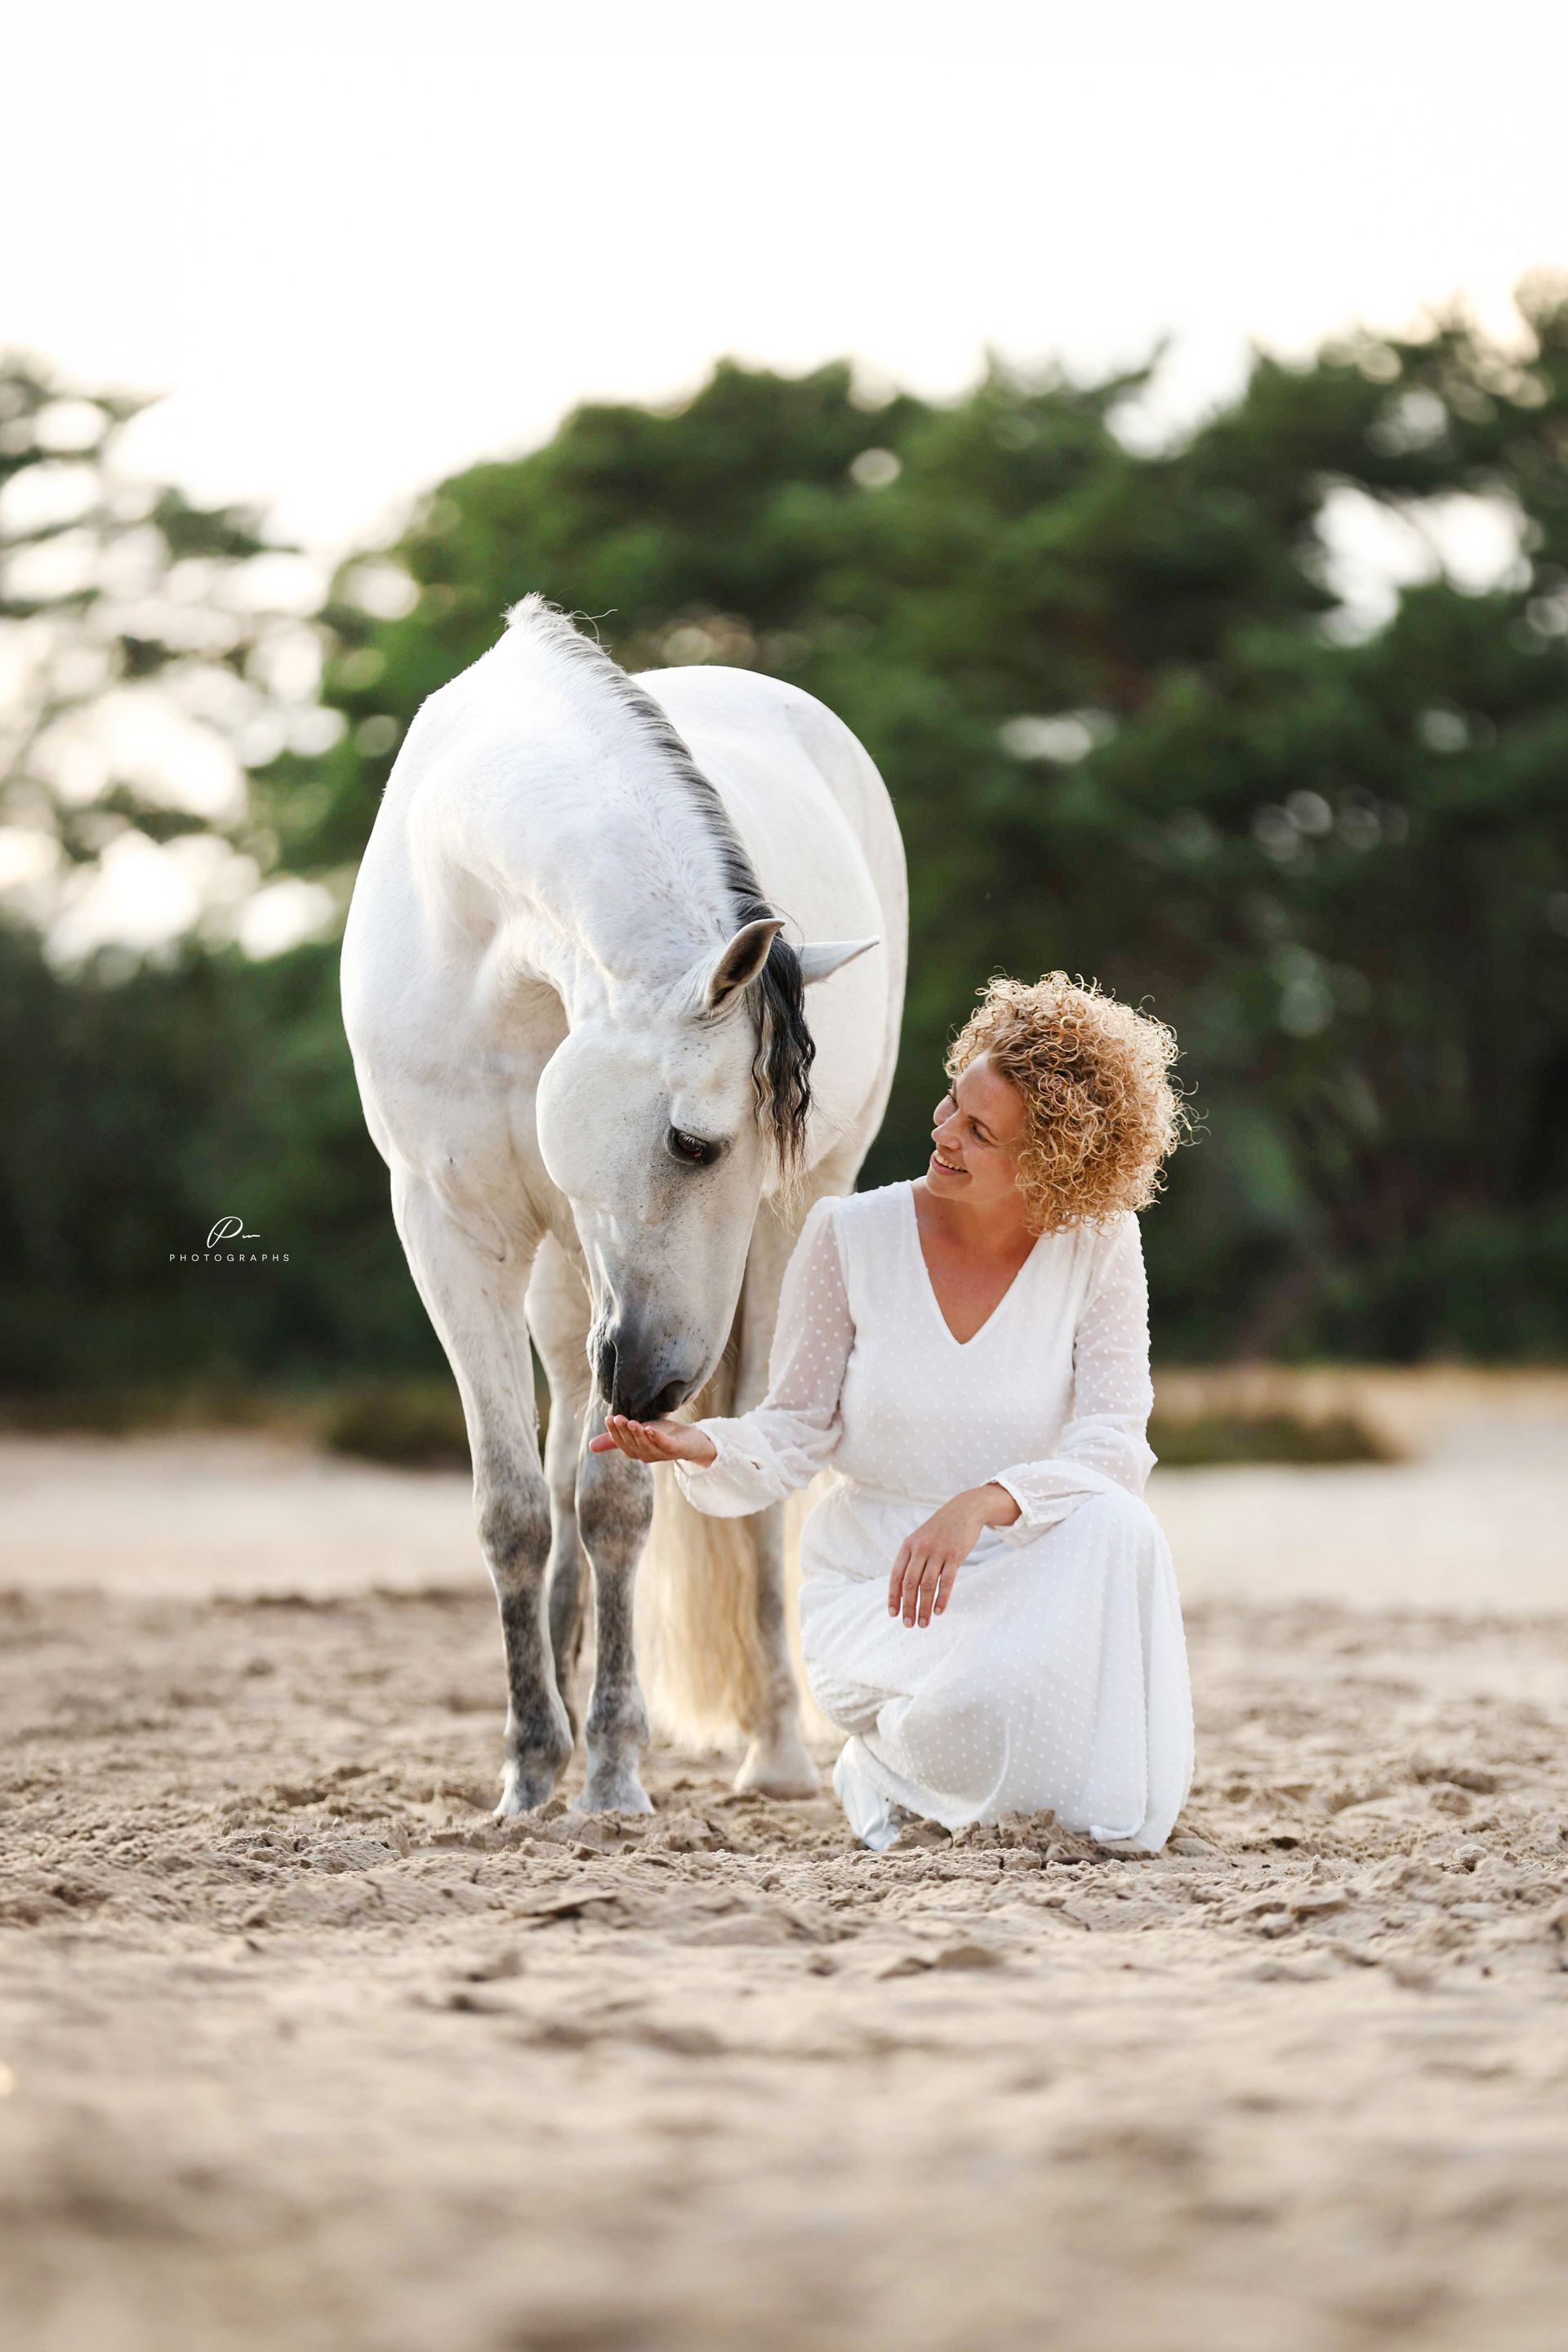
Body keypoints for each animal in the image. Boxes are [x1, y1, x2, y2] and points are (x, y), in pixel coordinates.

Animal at [340, 597, 906, 1815]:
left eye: (753, 1155)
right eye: (694, 1143)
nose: (656, 1384)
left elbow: (616, 1509)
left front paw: (609, 1771)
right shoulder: (449, 1234)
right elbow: (515, 1506)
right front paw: (528, 1768)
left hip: (778, 1245)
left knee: (753, 1479)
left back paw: (773, 1753)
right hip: (563, 1277)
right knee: (559, 1452)